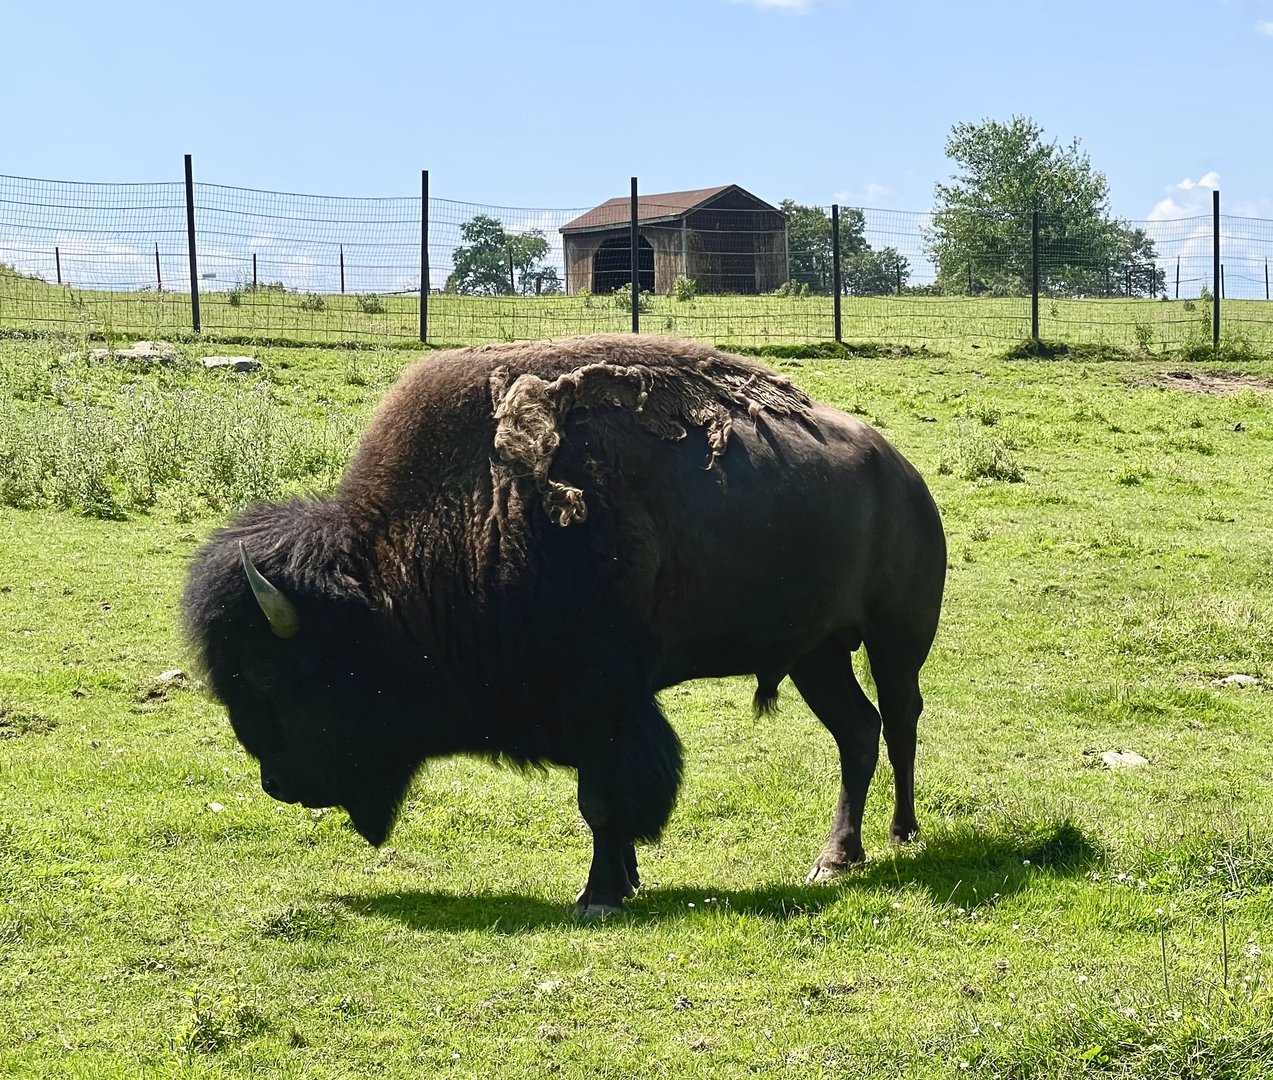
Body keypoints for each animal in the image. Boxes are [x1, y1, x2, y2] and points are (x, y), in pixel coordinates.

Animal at [183, 335, 946, 917]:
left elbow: (600, 801)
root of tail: (902, 471)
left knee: (900, 719)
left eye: (268, 672)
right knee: (858, 731)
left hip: (895, 637)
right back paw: (835, 858)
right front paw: (624, 881)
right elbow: (610, 800)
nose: (276, 783)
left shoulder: (601, 701)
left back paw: (901, 834)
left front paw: (599, 896)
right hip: (816, 652)